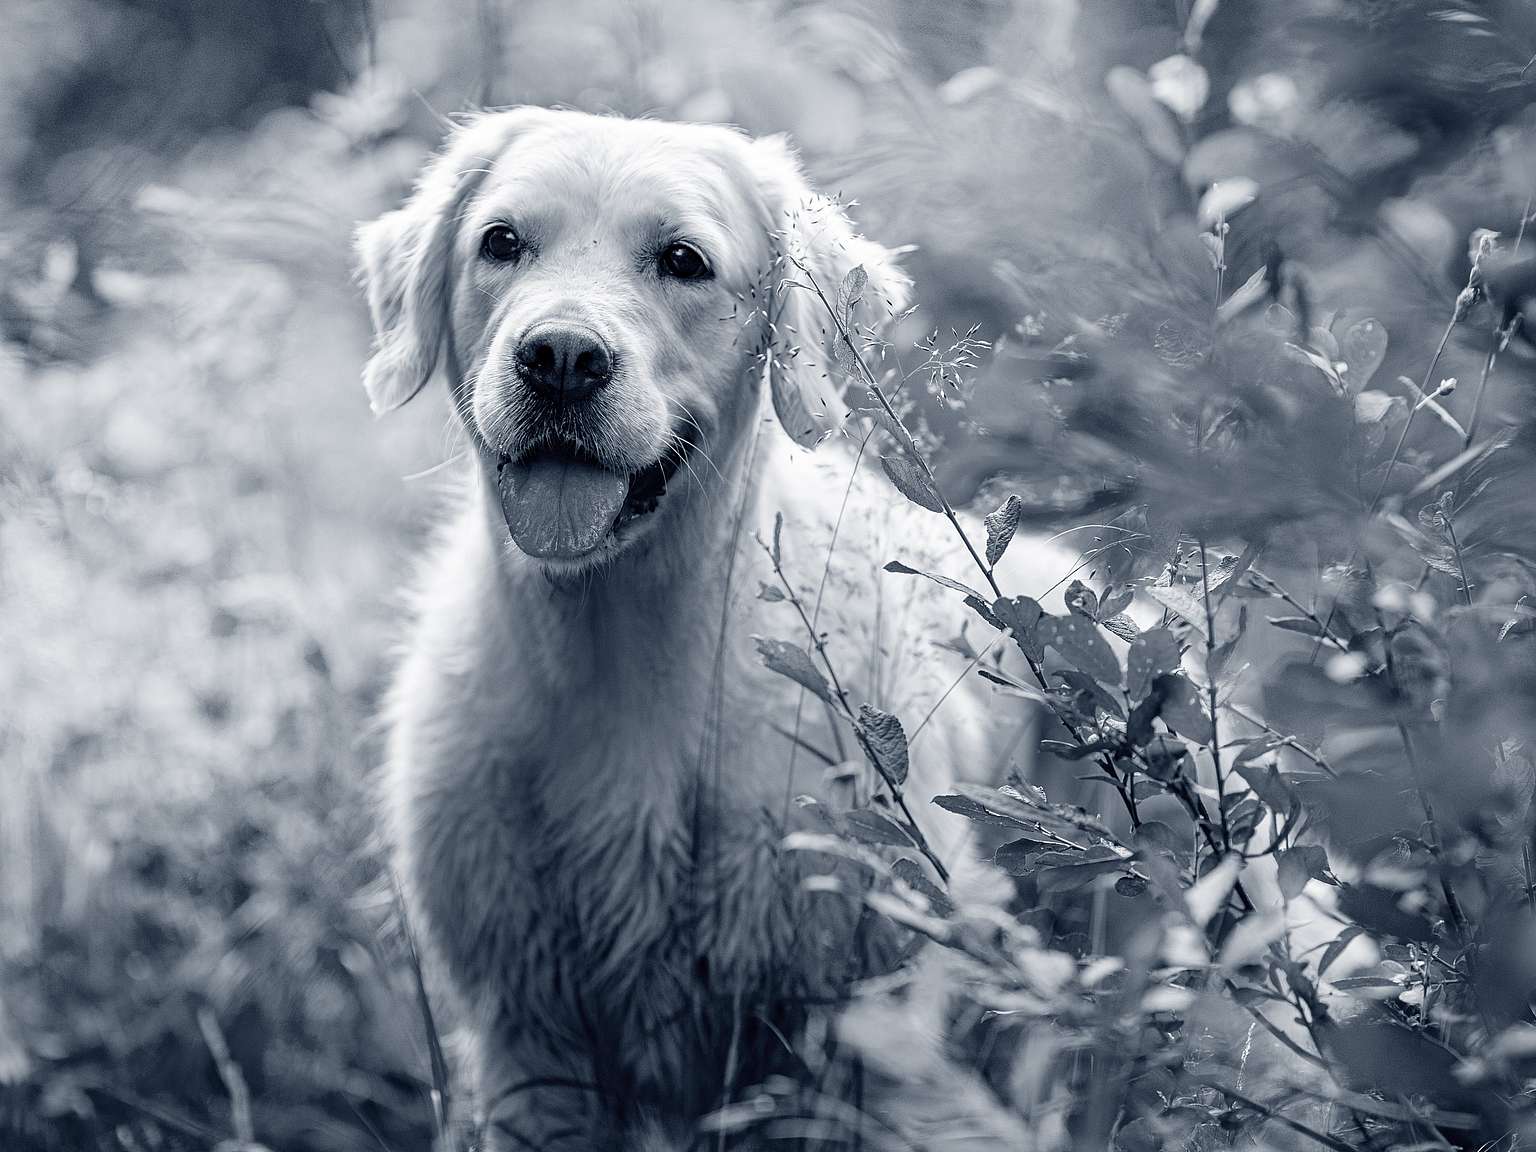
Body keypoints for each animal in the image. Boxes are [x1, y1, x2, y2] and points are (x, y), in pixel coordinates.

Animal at [353, 105, 1075, 1148]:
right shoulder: (530, 1035)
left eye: (683, 260)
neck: (616, 635)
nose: (560, 358)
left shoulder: (854, 1024)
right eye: (501, 242)